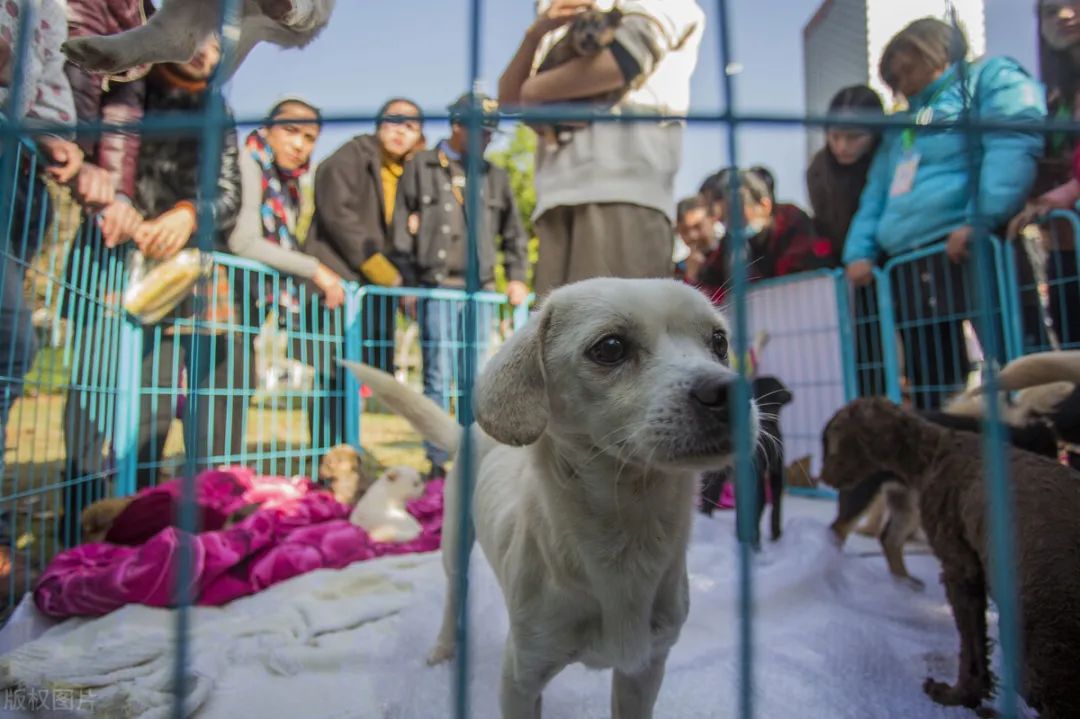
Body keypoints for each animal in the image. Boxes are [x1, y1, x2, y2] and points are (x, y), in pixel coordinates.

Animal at [345, 275, 760, 716]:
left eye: (719, 341)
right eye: (610, 347)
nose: (733, 391)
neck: (627, 535)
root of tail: (465, 433)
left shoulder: (644, 671)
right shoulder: (521, 678)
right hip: (454, 548)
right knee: (453, 598)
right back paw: (443, 648)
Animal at [699, 375, 794, 544]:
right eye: (781, 386)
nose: (791, 394)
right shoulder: (773, 470)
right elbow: (772, 505)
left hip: (718, 476)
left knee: (711, 498)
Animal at [820, 397, 1080, 716]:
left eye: (830, 441)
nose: (822, 477)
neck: (934, 451)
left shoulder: (958, 566)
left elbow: (970, 645)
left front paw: (954, 696)